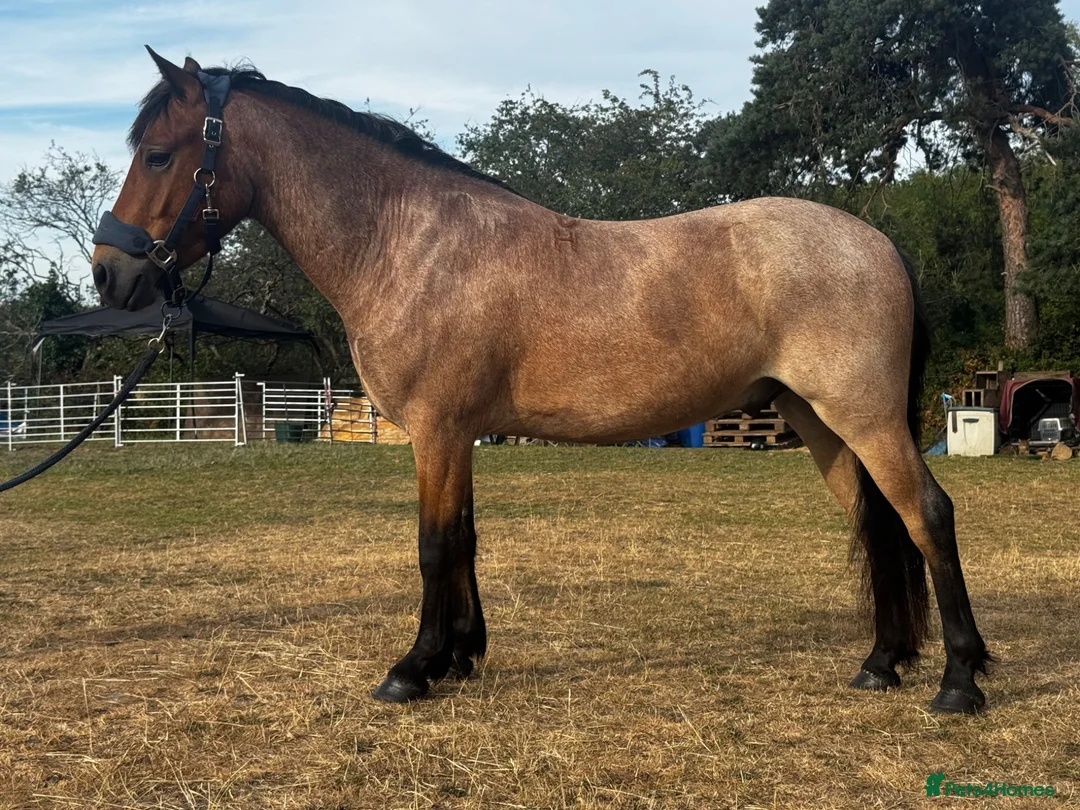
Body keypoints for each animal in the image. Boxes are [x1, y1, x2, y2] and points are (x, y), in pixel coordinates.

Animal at [90, 49, 990, 712]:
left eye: (159, 153)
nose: (108, 273)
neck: (406, 241)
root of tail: (874, 241)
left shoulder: (438, 428)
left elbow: (434, 546)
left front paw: (412, 670)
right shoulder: (458, 433)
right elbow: (465, 541)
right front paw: (460, 656)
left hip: (863, 416)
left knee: (928, 515)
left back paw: (960, 680)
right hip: (817, 422)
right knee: (878, 523)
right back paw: (881, 663)